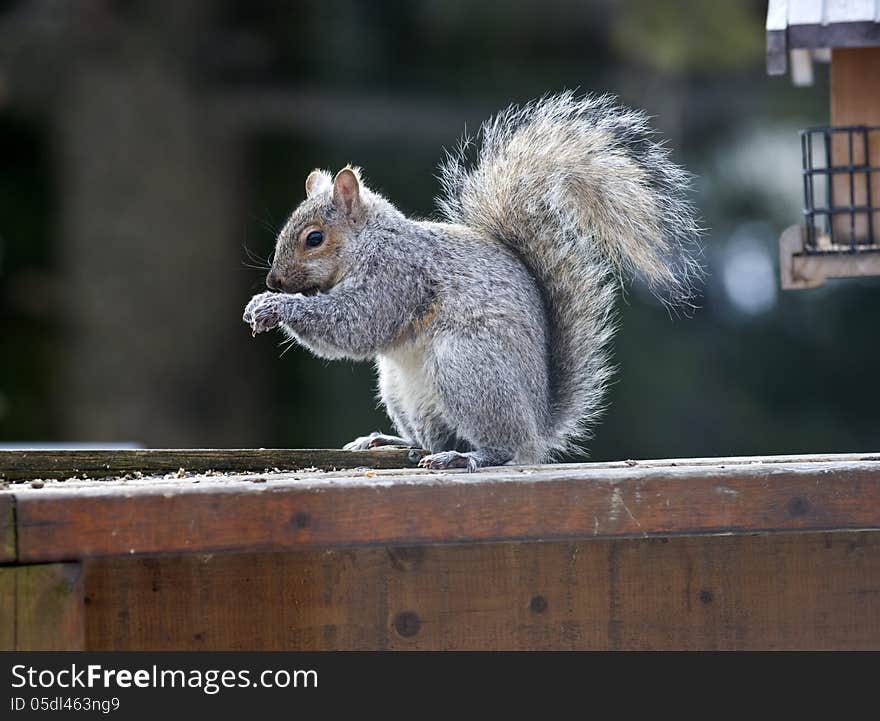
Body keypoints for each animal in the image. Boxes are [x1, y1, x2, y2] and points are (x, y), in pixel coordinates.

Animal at [242, 91, 700, 472]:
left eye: (314, 238)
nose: (275, 281)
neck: (371, 241)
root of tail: (537, 428)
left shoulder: (398, 277)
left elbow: (356, 324)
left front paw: (274, 306)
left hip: (465, 366)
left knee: (501, 448)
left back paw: (467, 458)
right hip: (401, 390)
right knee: (432, 439)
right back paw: (392, 441)